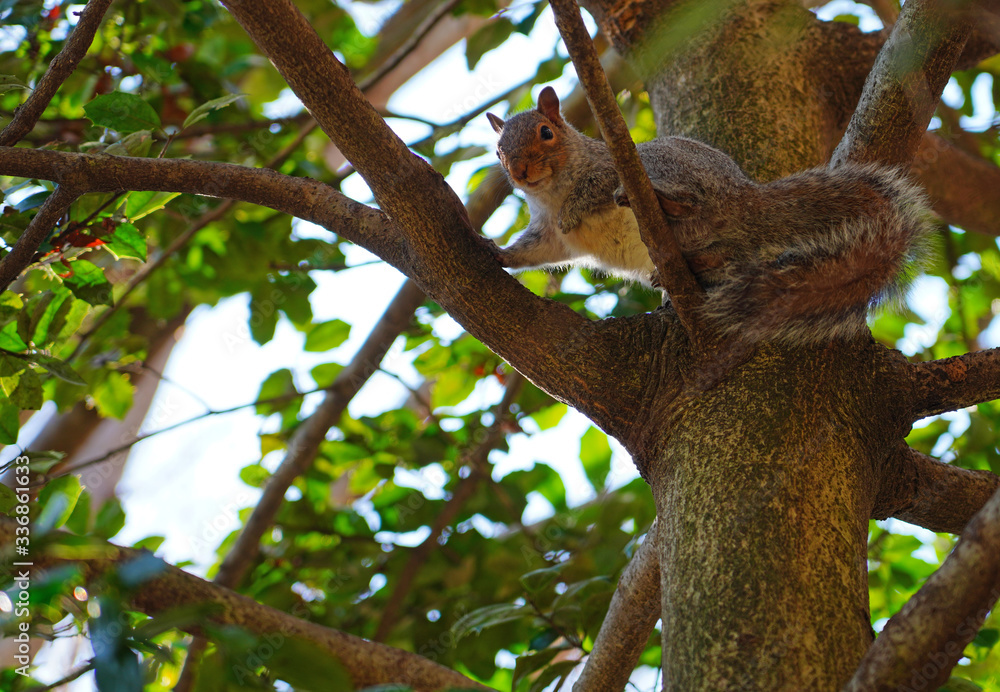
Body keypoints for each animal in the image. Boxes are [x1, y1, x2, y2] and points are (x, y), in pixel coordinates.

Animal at [486, 86, 933, 345]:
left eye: (546, 132)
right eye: (498, 151)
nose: (518, 172)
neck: (552, 193)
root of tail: (745, 199)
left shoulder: (607, 168)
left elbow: (591, 192)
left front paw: (574, 210)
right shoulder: (547, 235)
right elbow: (535, 251)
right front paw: (498, 253)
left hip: (662, 164)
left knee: (692, 204)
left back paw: (670, 207)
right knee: (727, 259)